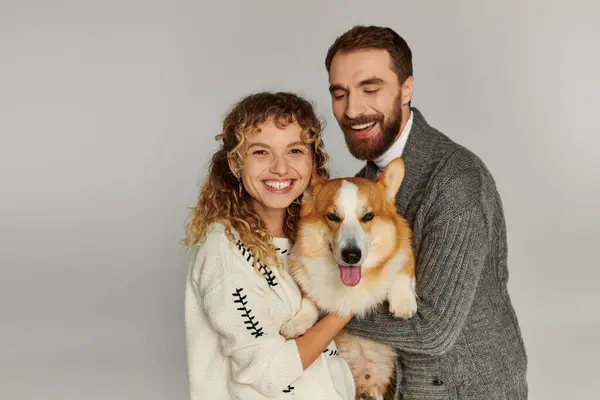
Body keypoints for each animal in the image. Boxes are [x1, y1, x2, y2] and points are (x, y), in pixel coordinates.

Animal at [282, 158, 418, 400]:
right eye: (332, 216)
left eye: (368, 216)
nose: (351, 255)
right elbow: (309, 300)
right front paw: (296, 322)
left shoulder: (406, 251)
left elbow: (401, 270)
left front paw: (403, 303)